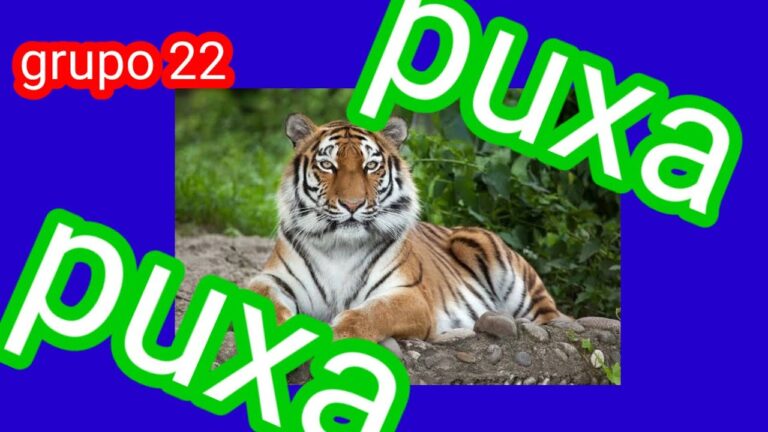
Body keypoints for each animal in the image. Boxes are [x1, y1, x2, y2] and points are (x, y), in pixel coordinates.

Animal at [247, 113, 564, 342]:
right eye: (327, 165)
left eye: (370, 166)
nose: (352, 204)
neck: (340, 246)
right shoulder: (271, 279)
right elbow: (266, 301)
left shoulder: (409, 295)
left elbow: (373, 313)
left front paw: (337, 335)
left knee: (555, 318)